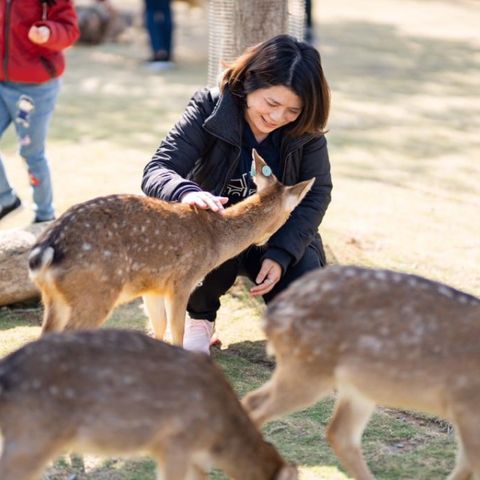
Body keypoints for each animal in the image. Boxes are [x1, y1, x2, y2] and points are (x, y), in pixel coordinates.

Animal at [28, 151, 314, 344]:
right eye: (290, 213)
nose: (266, 242)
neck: (215, 240)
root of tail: (47, 250)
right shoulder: (181, 281)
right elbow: (177, 331)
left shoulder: (151, 285)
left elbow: (159, 326)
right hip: (96, 291)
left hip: (55, 297)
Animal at [242, 264, 480, 480]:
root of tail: (271, 315)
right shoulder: (467, 407)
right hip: (310, 368)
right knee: (260, 406)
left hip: (353, 386)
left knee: (338, 433)